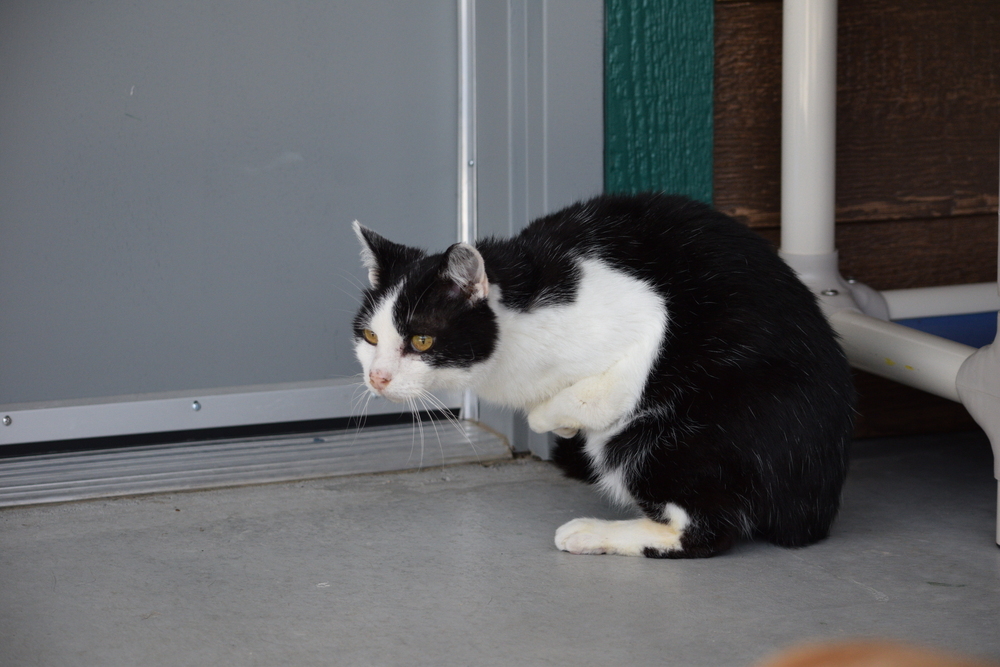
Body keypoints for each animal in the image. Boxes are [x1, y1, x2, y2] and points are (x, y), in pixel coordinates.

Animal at [350, 193, 852, 560]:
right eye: (371, 336)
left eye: (421, 341)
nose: (378, 378)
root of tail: (815, 508)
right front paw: (560, 423)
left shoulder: (645, 318)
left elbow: (592, 394)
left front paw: (551, 418)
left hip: (669, 433)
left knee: (706, 531)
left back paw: (592, 533)